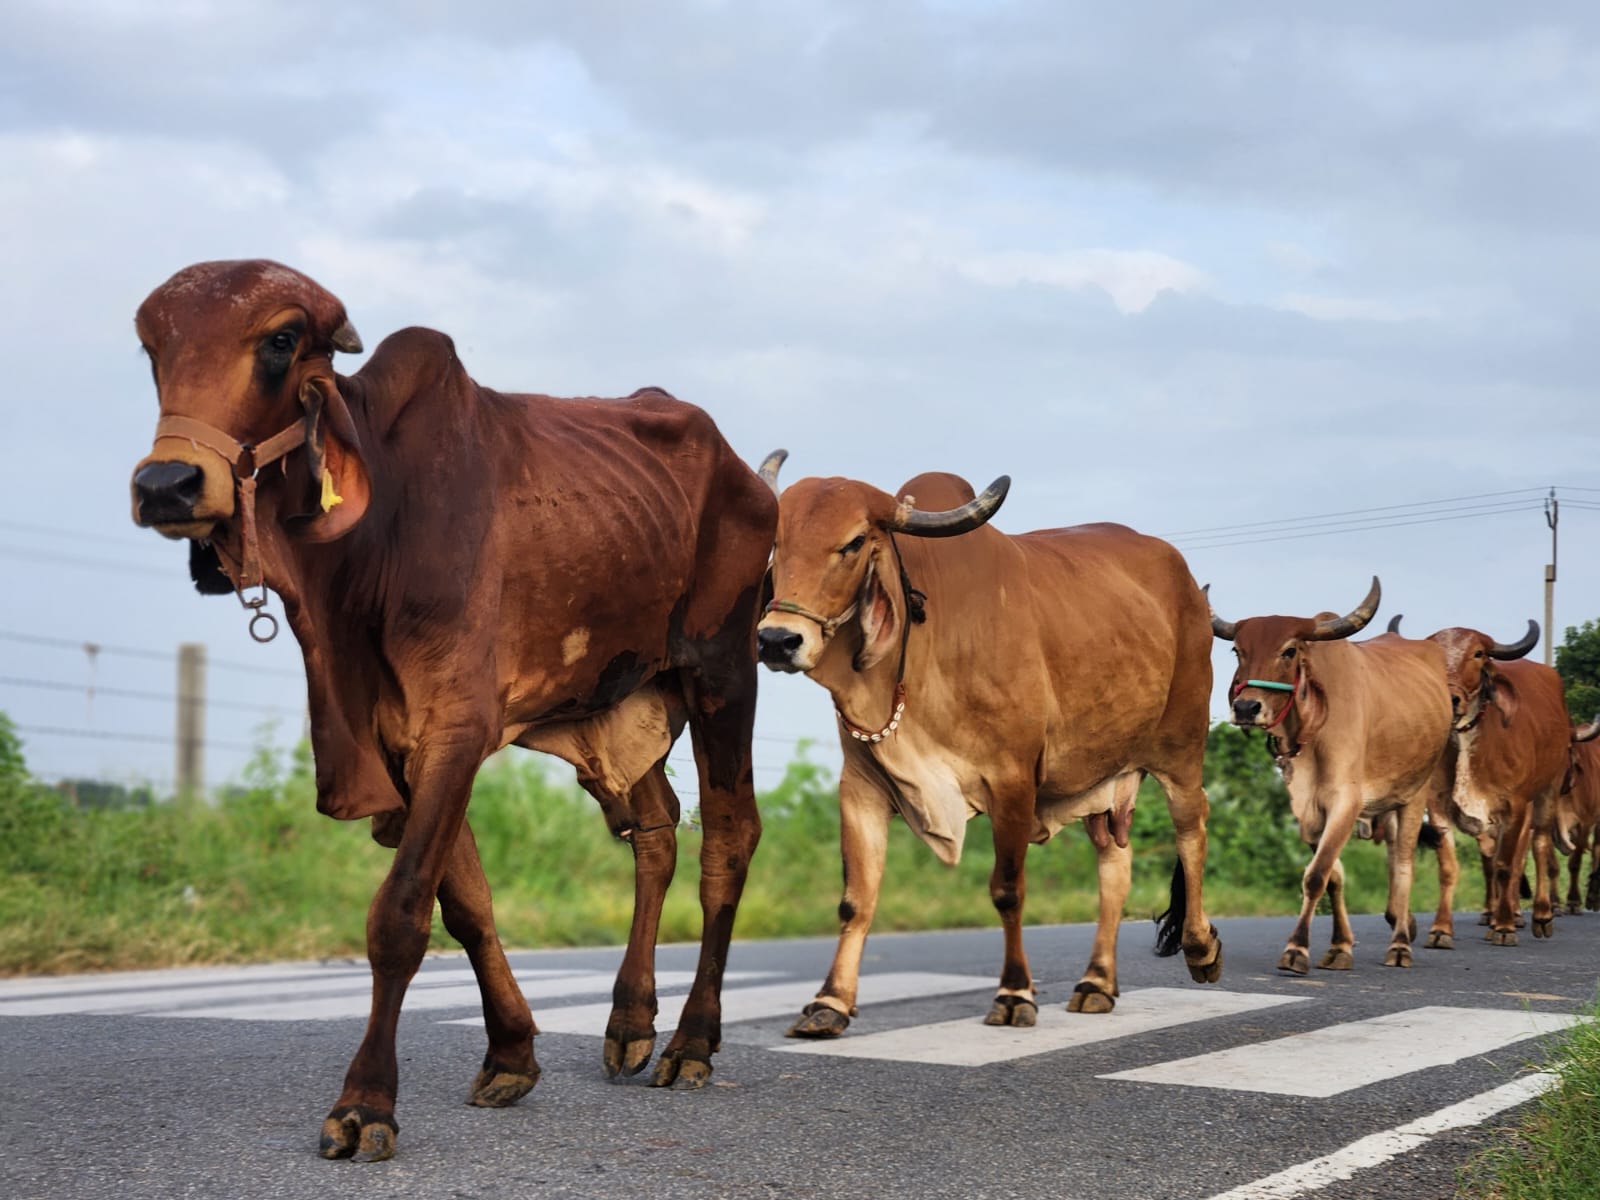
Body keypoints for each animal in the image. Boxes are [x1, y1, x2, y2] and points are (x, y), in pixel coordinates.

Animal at [128, 260, 776, 1161]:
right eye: (152, 347)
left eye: (282, 339)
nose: (166, 485)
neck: (370, 545)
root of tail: (747, 473)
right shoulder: (399, 741)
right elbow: (466, 904)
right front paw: (511, 1054)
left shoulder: (457, 726)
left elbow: (400, 914)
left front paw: (365, 1104)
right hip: (617, 700)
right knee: (655, 831)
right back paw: (630, 1023)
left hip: (723, 672)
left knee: (729, 837)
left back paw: (691, 1042)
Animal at [754, 455, 1222, 1037]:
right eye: (777, 539)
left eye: (855, 542)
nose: (777, 640)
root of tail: (1188, 583)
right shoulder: (860, 786)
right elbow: (855, 901)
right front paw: (829, 1003)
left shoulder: (1013, 781)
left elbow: (1007, 890)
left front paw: (1015, 993)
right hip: (1104, 775)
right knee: (1115, 863)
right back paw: (1096, 983)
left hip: (1182, 747)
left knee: (1191, 828)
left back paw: (1201, 948)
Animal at [1209, 580, 1453, 973]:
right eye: (1237, 650)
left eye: (1289, 650)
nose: (1246, 707)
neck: (1311, 727)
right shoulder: (1307, 812)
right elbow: (1333, 876)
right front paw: (1339, 947)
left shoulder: (1345, 802)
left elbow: (1315, 875)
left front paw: (1296, 949)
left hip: (1415, 796)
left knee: (1403, 867)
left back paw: (1401, 944)